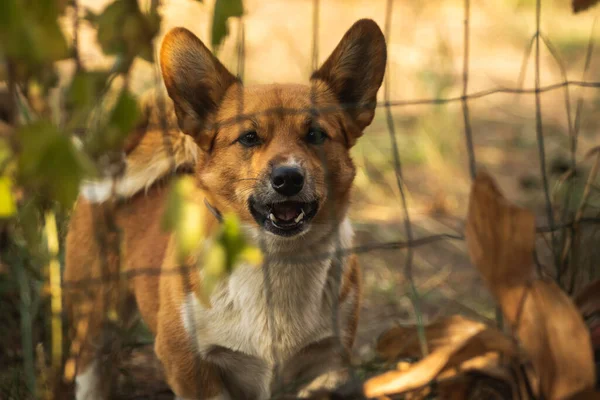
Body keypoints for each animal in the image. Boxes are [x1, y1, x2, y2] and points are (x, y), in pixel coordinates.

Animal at [63, 17, 386, 398]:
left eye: (316, 135)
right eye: (249, 137)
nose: (288, 178)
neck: (275, 260)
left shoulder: (324, 368)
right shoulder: (190, 367)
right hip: (95, 320)